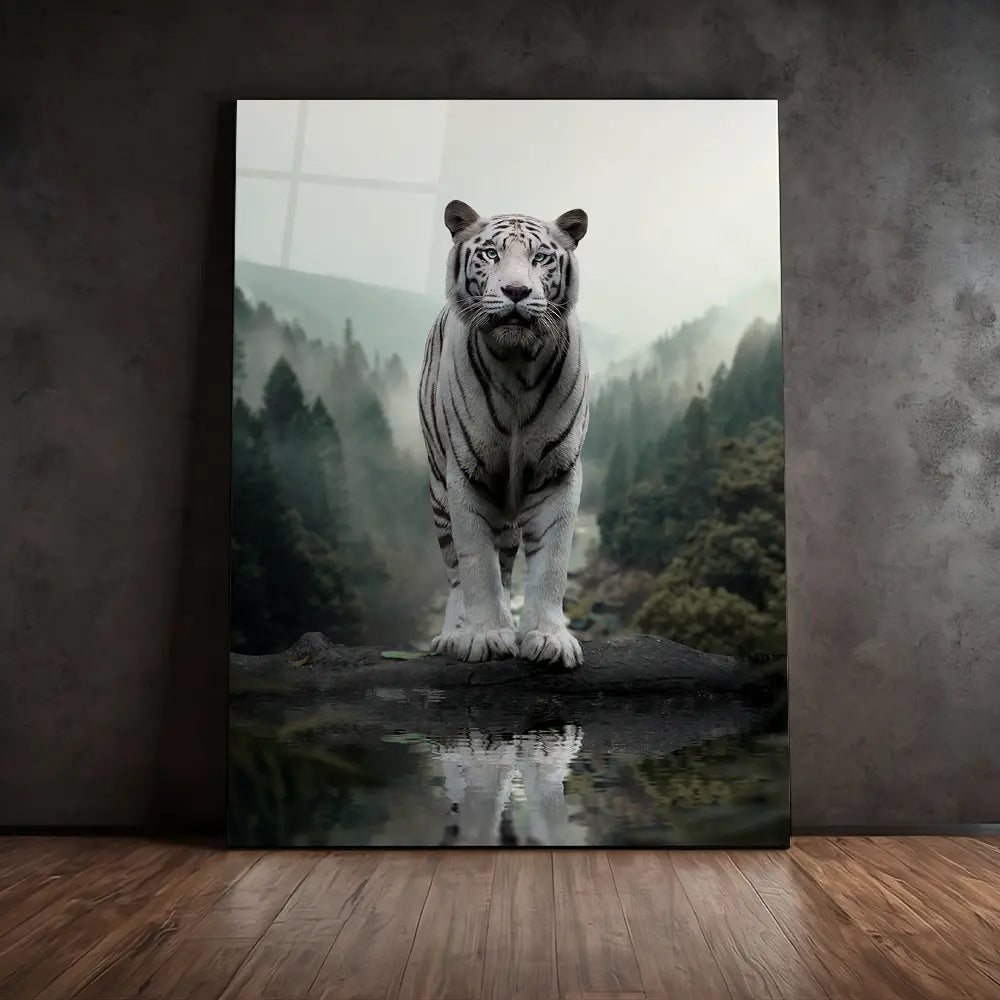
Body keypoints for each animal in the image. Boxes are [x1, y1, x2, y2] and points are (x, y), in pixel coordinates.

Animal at [418, 199, 590, 670]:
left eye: (541, 257)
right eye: (491, 254)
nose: (516, 291)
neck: (517, 364)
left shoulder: (557, 472)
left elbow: (552, 562)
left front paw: (548, 638)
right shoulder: (466, 474)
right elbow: (477, 563)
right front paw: (485, 635)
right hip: (438, 492)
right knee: (456, 570)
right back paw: (453, 635)